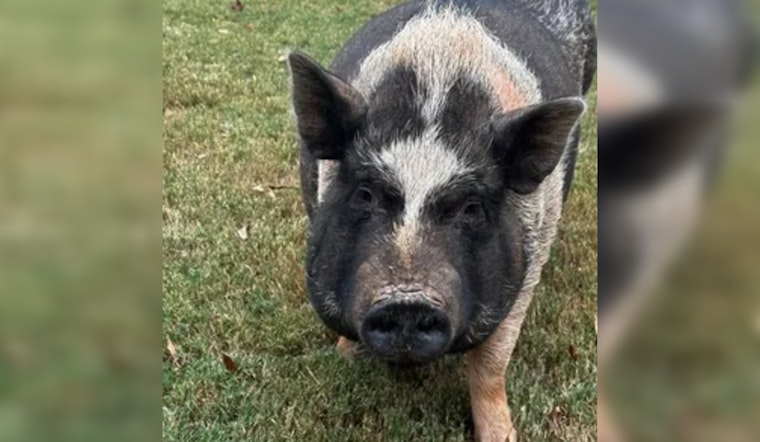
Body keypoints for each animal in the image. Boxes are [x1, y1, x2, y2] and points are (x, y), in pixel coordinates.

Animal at [287, 1, 596, 440]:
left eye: (472, 208)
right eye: (364, 195)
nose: (407, 299)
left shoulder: (527, 265)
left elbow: (490, 366)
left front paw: (502, 435)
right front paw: (343, 357)